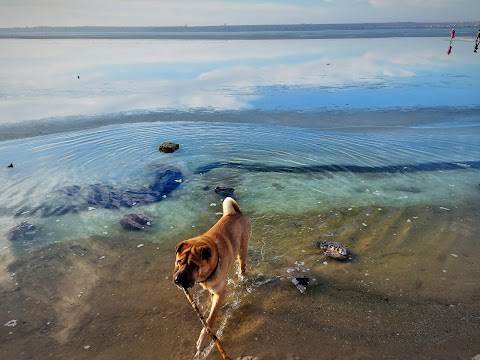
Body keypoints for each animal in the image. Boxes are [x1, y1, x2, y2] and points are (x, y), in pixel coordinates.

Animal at [173, 198, 251, 356]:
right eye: (179, 261)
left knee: (242, 265)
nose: (178, 280)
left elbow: (210, 319)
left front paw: (203, 340)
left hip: (242, 251)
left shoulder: (220, 292)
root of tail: (237, 213)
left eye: (193, 265)